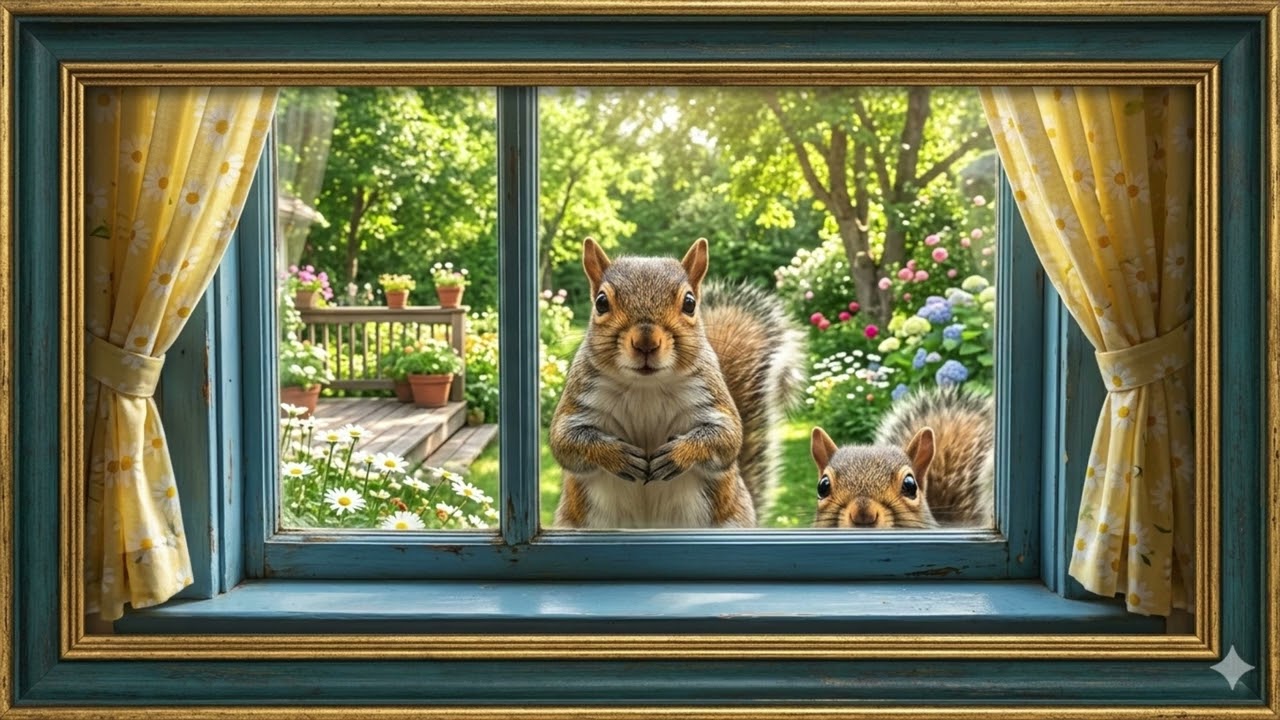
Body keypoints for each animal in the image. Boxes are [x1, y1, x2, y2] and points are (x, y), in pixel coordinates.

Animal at [550, 237, 805, 529]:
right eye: (601, 302)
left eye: (690, 303)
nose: (646, 343)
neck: (645, 387)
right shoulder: (580, 400)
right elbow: (566, 442)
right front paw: (615, 455)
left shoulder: (711, 398)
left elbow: (726, 437)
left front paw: (679, 454)